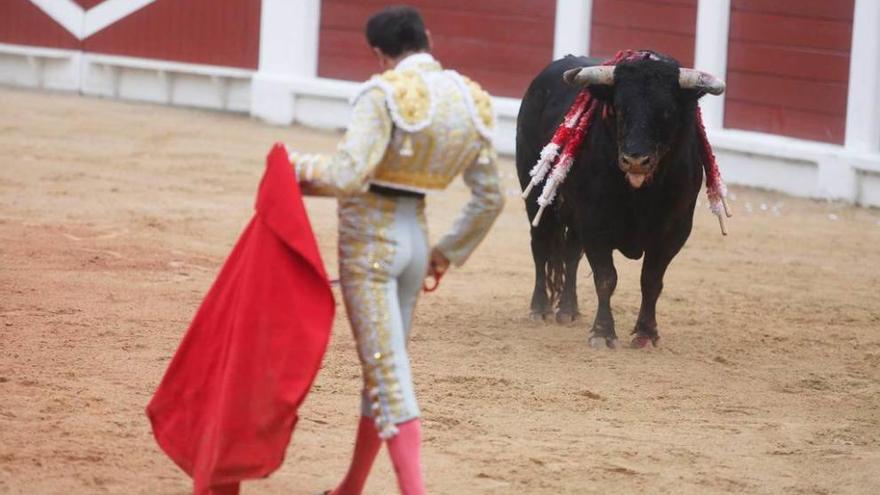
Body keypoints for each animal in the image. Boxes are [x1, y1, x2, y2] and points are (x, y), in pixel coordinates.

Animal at [512, 52, 724, 348]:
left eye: (667, 111)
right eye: (620, 108)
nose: (635, 160)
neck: (641, 194)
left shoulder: (675, 231)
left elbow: (651, 281)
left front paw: (646, 333)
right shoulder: (595, 224)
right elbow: (606, 278)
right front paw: (603, 333)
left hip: (575, 215)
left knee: (570, 254)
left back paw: (568, 309)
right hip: (535, 192)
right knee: (540, 246)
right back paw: (540, 308)